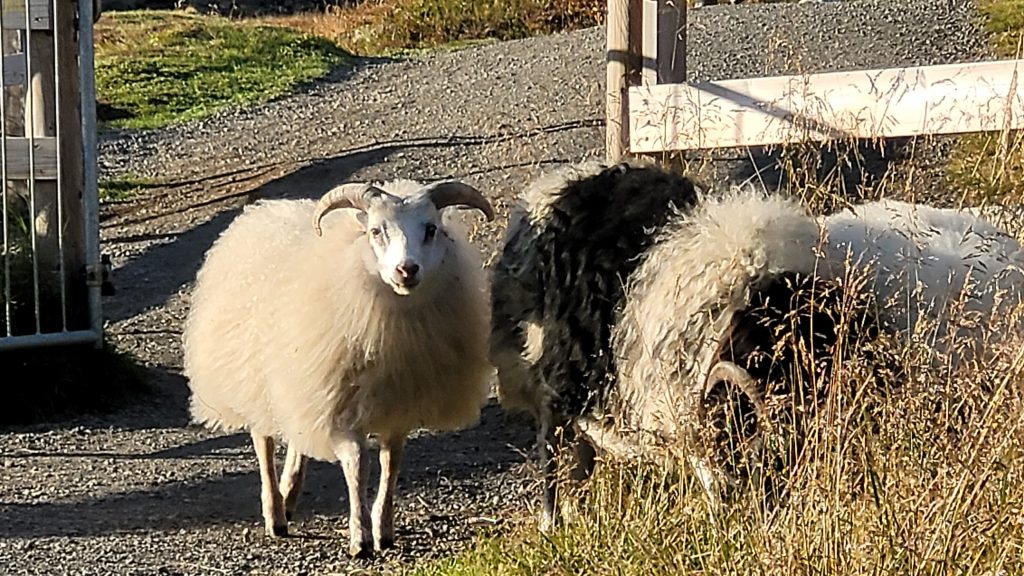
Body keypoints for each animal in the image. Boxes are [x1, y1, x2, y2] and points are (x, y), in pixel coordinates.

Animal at [183, 178, 495, 557]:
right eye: (375, 230)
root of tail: (265, 209)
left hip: (300, 382)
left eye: (431, 229)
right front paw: (360, 536)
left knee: (298, 435)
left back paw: (290, 494)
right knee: (263, 440)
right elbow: (358, 463)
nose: (406, 270)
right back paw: (275, 512)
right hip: (253, 374)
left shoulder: (397, 407)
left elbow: (391, 464)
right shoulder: (341, 409)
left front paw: (383, 527)